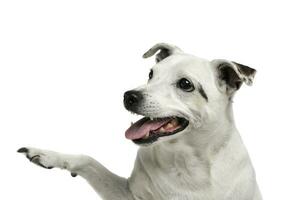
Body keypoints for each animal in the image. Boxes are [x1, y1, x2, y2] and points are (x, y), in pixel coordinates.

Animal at [17, 43, 262, 200]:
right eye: (151, 74)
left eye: (185, 84)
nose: (129, 96)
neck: (185, 160)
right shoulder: (128, 194)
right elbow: (89, 161)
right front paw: (48, 155)